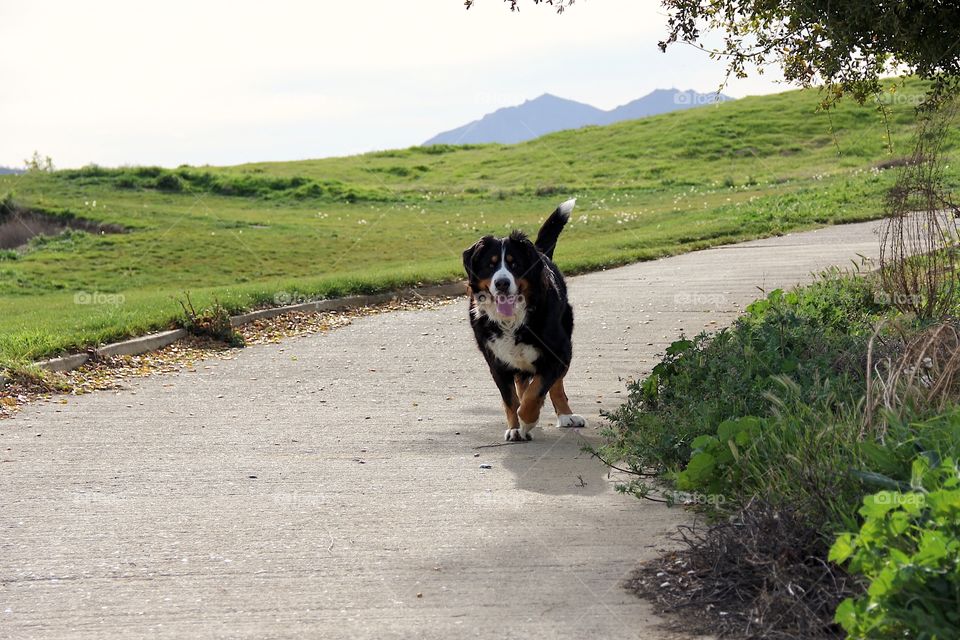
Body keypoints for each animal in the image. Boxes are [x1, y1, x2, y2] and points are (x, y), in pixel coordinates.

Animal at [464, 199, 588, 440]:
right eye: (491, 265)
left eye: (515, 264)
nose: (502, 283)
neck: (512, 320)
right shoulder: (496, 361)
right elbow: (511, 399)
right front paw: (515, 428)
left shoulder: (556, 353)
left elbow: (537, 391)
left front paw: (528, 420)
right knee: (522, 382)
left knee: (555, 386)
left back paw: (566, 416)